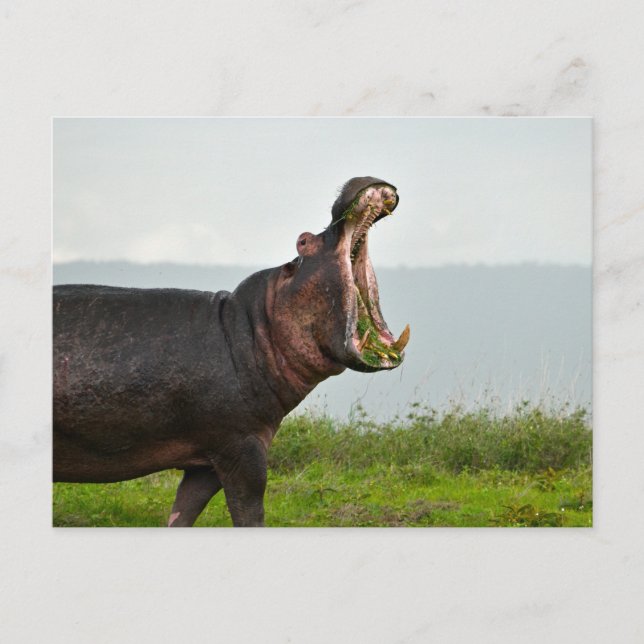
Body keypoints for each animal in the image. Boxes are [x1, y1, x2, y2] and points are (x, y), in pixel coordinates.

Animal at [53, 177, 410, 527]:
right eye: (303, 241)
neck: (257, 327)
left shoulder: (206, 463)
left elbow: (183, 512)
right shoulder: (242, 446)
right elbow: (250, 511)